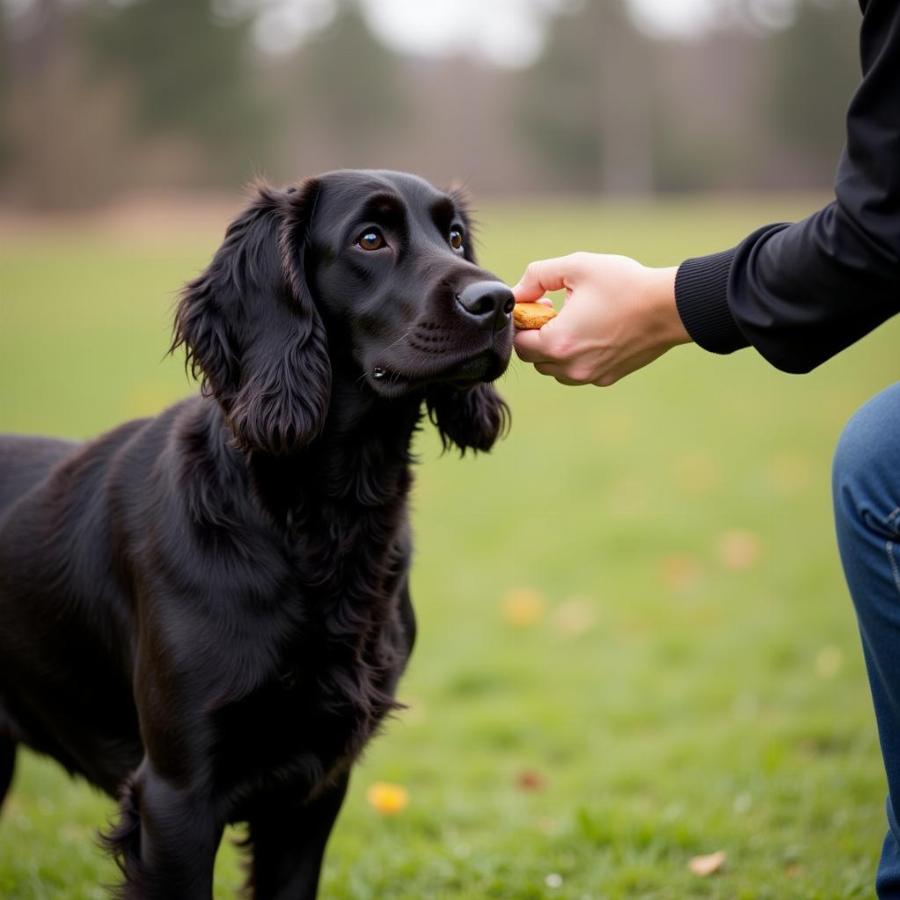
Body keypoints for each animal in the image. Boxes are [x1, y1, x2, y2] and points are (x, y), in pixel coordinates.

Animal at [0, 172, 512, 896]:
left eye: (456, 237)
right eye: (370, 238)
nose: (499, 302)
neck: (321, 522)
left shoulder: (315, 788)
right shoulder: (176, 795)